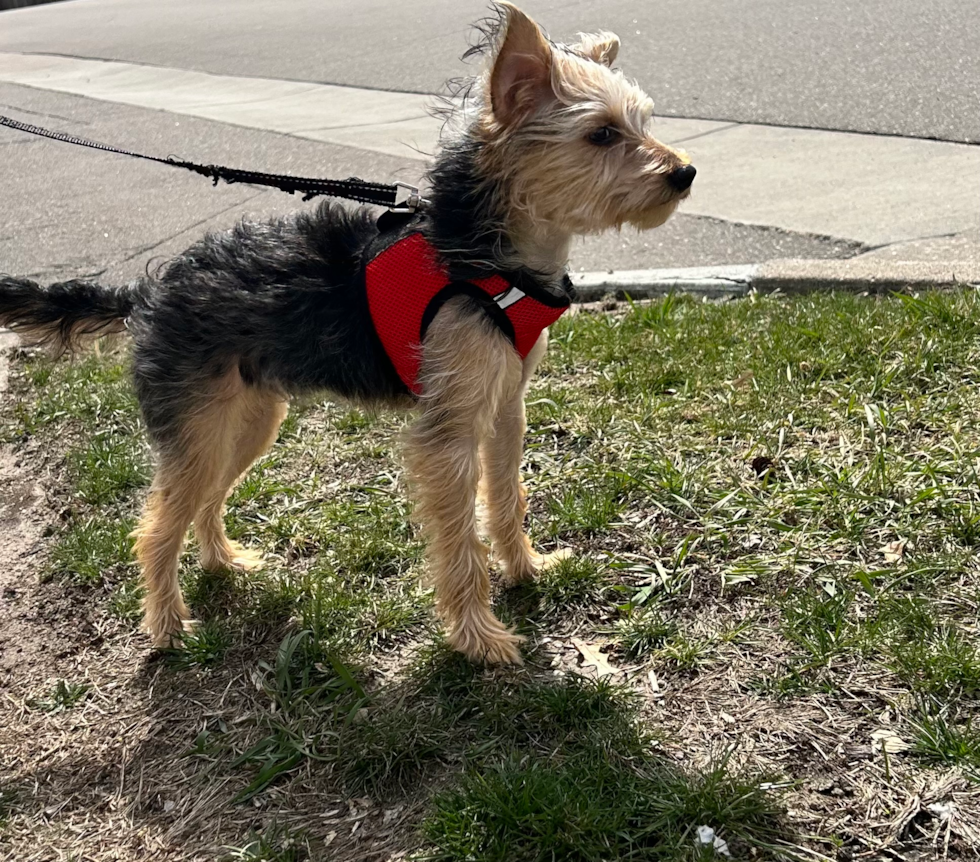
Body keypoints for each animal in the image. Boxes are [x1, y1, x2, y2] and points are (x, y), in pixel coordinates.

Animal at [0, 1, 692, 668]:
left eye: (643, 121)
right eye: (601, 134)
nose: (684, 173)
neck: (482, 254)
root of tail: (149, 292)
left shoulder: (505, 409)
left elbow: (506, 496)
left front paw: (526, 569)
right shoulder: (448, 432)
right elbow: (460, 538)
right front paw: (480, 640)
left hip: (248, 419)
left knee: (202, 498)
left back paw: (224, 563)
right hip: (199, 424)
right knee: (155, 527)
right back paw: (169, 628)